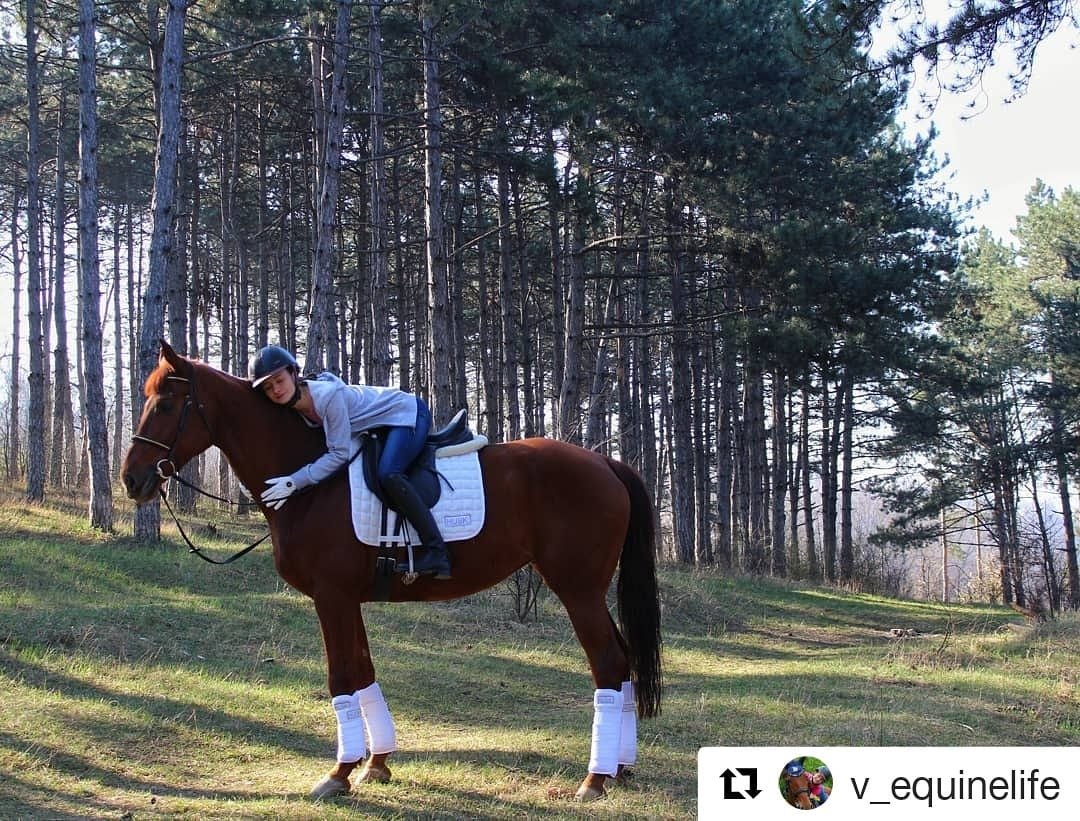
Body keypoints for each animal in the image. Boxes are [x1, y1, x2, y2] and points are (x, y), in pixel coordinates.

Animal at [120, 341, 663, 802]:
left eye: (164, 406)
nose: (131, 479)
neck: (312, 481)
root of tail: (606, 464)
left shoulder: (331, 597)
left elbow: (342, 678)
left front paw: (339, 774)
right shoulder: (346, 599)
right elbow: (364, 673)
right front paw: (375, 764)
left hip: (577, 590)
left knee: (609, 664)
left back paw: (595, 778)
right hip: (589, 592)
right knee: (624, 660)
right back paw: (620, 766)